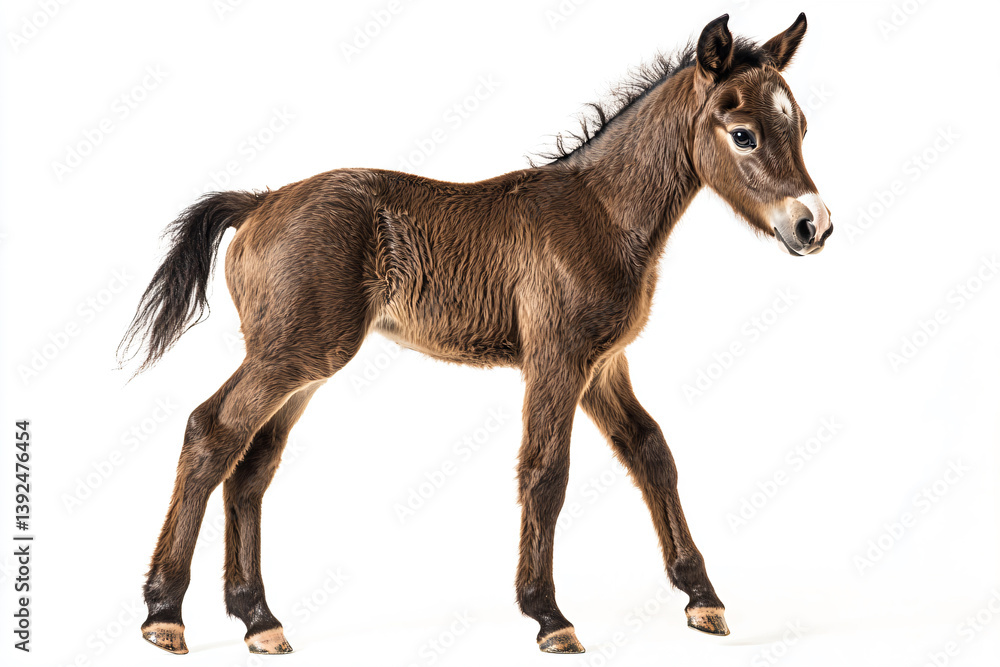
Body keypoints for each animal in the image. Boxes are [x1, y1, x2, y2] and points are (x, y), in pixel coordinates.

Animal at [119, 13, 832, 655]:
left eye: (800, 127)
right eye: (742, 134)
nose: (813, 225)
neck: (602, 212)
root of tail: (260, 200)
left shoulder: (605, 364)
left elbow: (651, 452)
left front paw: (702, 599)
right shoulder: (557, 358)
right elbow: (546, 470)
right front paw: (549, 617)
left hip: (304, 367)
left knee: (252, 465)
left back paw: (259, 620)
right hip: (294, 354)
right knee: (212, 431)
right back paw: (165, 614)